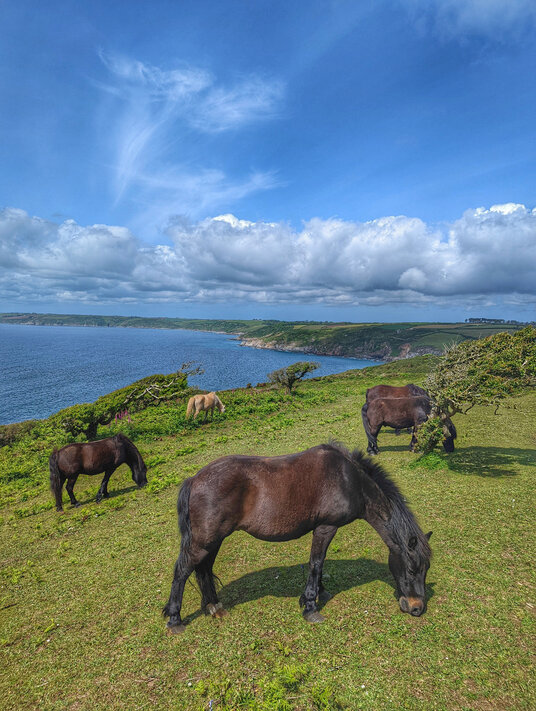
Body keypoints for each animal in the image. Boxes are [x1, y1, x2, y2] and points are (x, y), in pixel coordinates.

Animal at [163, 442, 432, 633]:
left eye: (425, 569)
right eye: (412, 568)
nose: (417, 608)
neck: (349, 480)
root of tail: (194, 479)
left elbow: (319, 564)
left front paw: (319, 592)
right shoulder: (326, 527)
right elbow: (316, 563)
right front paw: (311, 605)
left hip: (213, 541)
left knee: (204, 569)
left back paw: (213, 606)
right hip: (204, 542)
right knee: (183, 571)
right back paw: (175, 619)